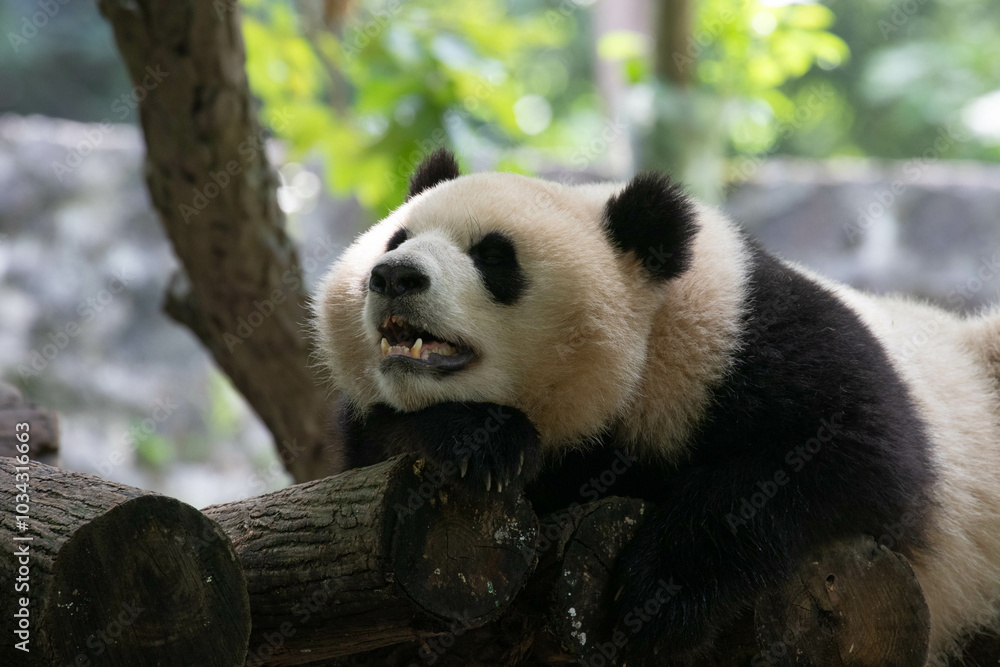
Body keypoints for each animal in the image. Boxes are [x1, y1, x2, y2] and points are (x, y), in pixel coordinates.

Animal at [313, 149, 1000, 664]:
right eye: (398, 237)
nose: (394, 275)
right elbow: (378, 451)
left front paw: (658, 592)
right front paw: (478, 441)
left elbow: (856, 454)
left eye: (493, 255)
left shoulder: (742, 339)